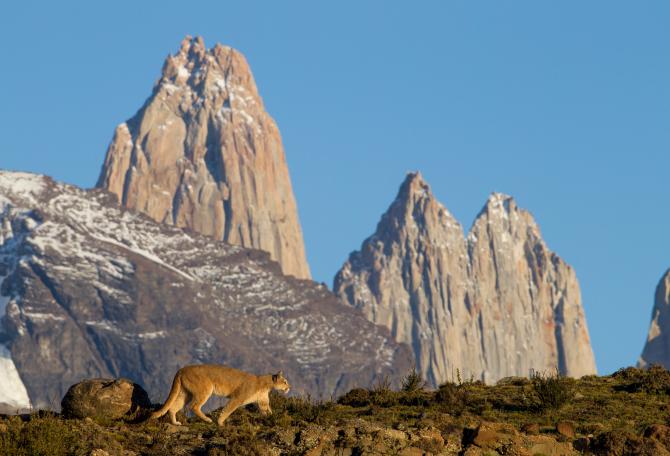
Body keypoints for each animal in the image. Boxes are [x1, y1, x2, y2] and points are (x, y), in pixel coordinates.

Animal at [149, 364, 290, 426]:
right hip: (205, 389)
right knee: (194, 407)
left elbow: (268, 410)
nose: (289, 387)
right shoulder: (237, 398)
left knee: (173, 407)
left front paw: (273, 418)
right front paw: (220, 422)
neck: (266, 384)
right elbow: (228, 410)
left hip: (186, 393)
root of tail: (181, 369)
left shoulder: (262, 401)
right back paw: (208, 419)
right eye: (285, 381)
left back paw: (176, 423)